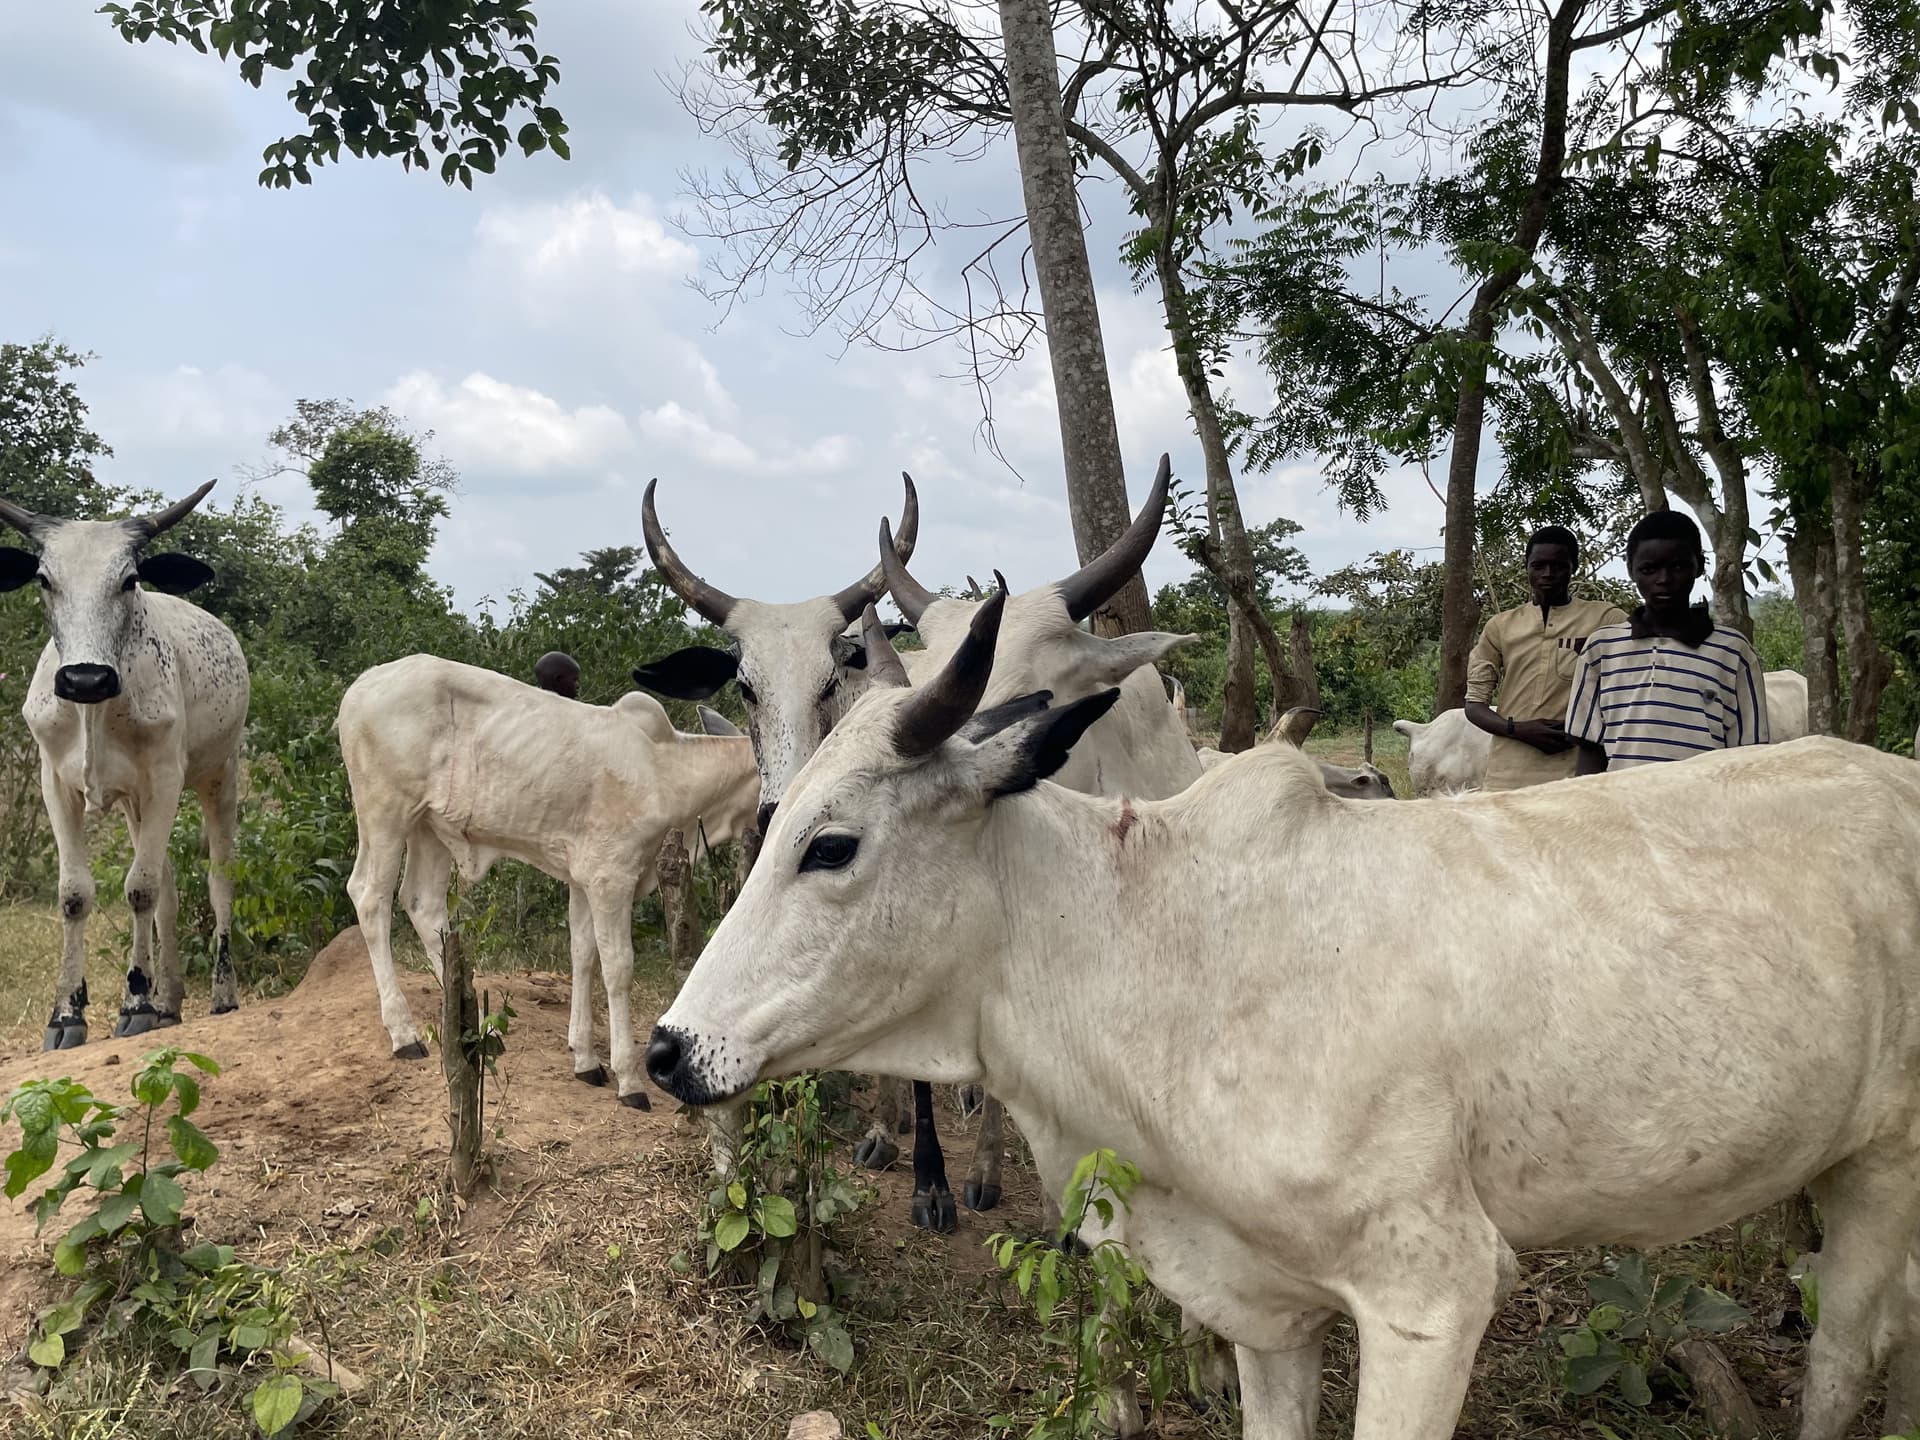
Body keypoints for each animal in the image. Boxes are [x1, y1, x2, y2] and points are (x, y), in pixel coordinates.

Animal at [0, 482, 247, 1049]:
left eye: (129, 579)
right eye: (44, 579)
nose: (84, 678)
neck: (96, 710)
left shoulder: (164, 780)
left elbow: (140, 890)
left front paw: (135, 1002)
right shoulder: (55, 785)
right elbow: (76, 894)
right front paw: (66, 1014)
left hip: (219, 773)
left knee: (218, 878)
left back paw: (220, 994)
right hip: (137, 803)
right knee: (171, 890)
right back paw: (170, 1001)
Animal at [337, 655, 759, 1108]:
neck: (666, 772)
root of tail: (363, 683)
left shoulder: (584, 879)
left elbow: (582, 954)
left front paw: (586, 1058)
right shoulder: (611, 877)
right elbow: (617, 968)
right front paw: (628, 1078)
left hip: (429, 826)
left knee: (424, 904)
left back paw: (478, 1029)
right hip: (386, 813)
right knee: (370, 898)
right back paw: (404, 1034)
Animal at [649, 592, 1920, 1440]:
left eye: (831, 846)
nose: (668, 1050)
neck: (1152, 945)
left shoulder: (1430, 1298)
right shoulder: (1264, 1315)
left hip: (1887, 1166)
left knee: (1850, 1350)